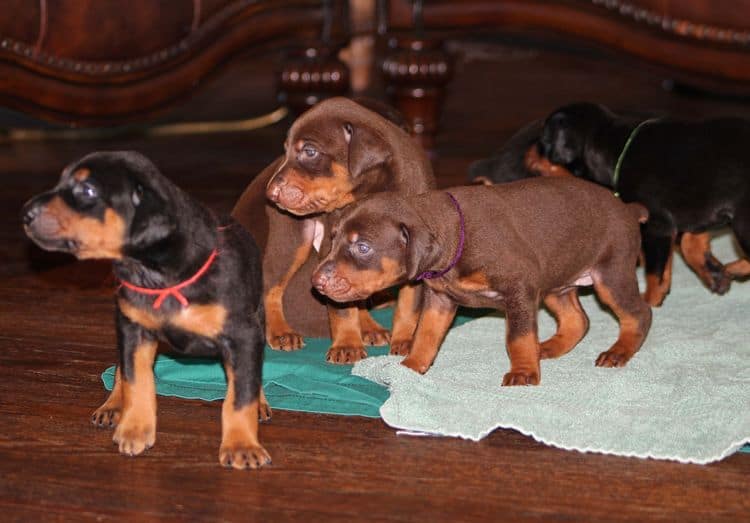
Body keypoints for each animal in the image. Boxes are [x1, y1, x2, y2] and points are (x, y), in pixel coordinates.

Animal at [20, 151, 274, 470]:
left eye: (87, 190)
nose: (25, 213)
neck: (158, 276)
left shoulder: (242, 334)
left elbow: (241, 393)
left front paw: (242, 445)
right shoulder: (134, 329)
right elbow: (136, 379)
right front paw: (135, 429)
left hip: (258, 318)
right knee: (121, 368)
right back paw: (113, 404)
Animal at [232, 96, 438, 362]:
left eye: (309, 151)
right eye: (286, 150)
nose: (271, 193)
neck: (375, 189)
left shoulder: (416, 254)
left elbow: (408, 305)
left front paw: (405, 340)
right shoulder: (332, 249)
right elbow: (342, 307)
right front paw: (347, 345)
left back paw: (370, 326)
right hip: (292, 236)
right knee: (272, 285)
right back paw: (281, 331)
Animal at [312, 178, 652, 386]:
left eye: (363, 247)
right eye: (333, 238)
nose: (317, 282)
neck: (456, 236)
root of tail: (626, 208)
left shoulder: (520, 289)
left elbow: (517, 337)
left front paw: (523, 372)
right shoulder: (440, 299)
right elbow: (426, 334)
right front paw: (411, 367)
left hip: (611, 274)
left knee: (639, 313)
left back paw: (619, 351)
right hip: (556, 281)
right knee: (577, 320)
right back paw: (548, 348)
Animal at [536, 103, 750, 308]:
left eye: (544, 142)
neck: (617, 150)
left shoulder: (657, 225)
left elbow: (655, 272)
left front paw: (649, 300)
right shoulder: (698, 215)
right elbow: (688, 245)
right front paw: (715, 276)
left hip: (743, 222)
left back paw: (734, 268)